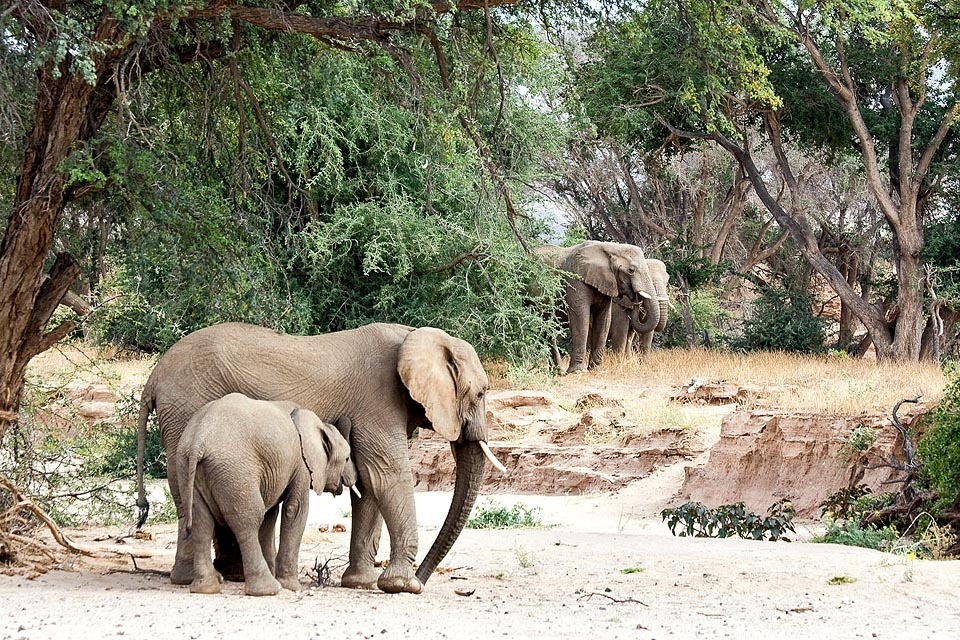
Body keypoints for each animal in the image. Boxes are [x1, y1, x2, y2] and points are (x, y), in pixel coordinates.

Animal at [177, 393, 357, 596]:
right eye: (347, 458)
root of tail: (198, 441)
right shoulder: (302, 464)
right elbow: (295, 510)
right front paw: (291, 586)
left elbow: (270, 514)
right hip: (235, 471)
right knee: (248, 522)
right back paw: (267, 589)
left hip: (187, 466)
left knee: (201, 522)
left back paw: (206, 588)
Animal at [535, 241, 660, 373]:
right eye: (631, 270)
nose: (637, 301)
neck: (611, 247)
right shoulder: (576, 280)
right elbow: (581, 317)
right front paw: (578, 371)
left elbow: (604, 319)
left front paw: (596, 369)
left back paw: (558, 372)